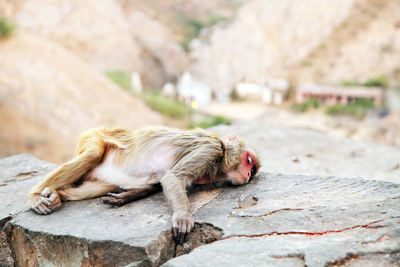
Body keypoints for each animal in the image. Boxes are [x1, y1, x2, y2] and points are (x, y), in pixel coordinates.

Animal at [28, 126, 260, 244]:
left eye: (253, 171)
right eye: (249, 160)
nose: (248, 174)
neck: (220, 162)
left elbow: (160, 182)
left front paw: (125, 197)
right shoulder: (209, 149)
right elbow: (173, 178)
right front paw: (183, 217)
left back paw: (59, 195)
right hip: (92, 136)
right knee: (93, 153)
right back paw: (36, 196)